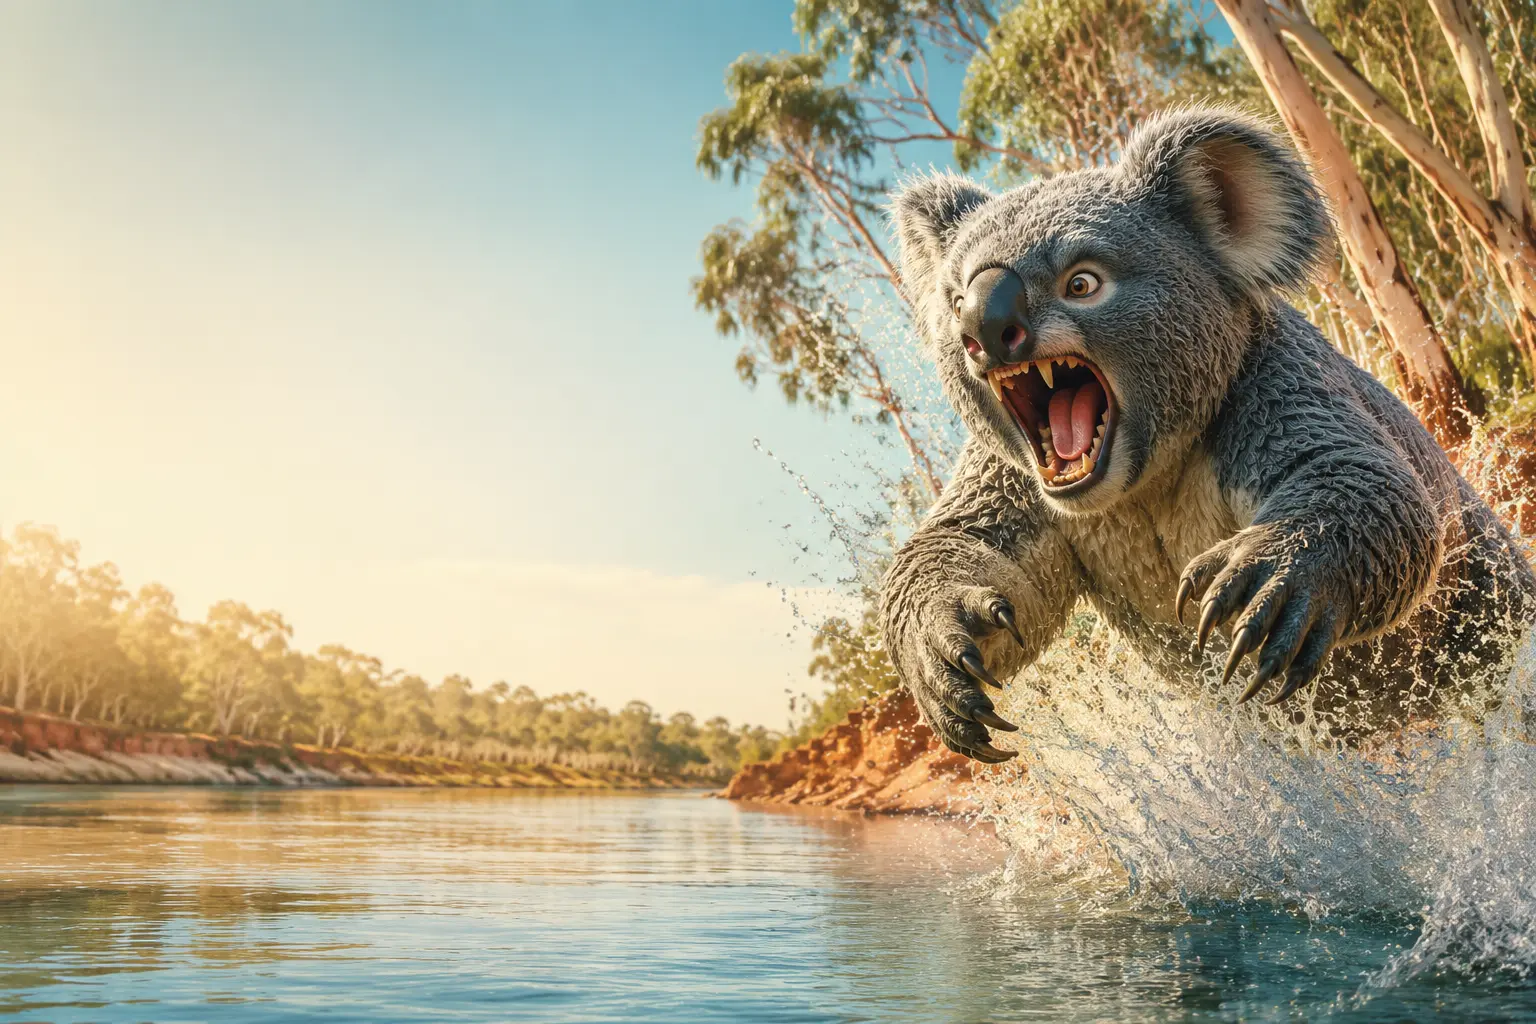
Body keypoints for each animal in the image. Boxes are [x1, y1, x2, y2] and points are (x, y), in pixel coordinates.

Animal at [879, 106, 1536, 763]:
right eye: (955, 299)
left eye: (1082, 283)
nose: (984, 329)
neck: (1142, 483)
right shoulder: (1017, 485)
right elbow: (973, 554)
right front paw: (941, 662)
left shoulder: (1269, 388)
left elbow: (1363, 487)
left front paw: (1259, 578)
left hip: (1486, 596)